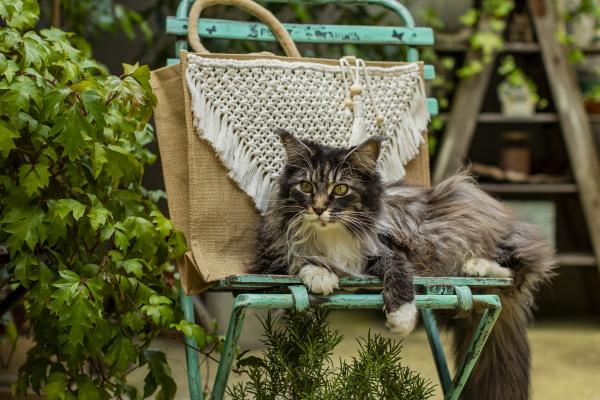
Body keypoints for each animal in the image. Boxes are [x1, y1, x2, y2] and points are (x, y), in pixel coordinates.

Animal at [247, 129, 552, 400]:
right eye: (306, 187)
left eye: (341, 189)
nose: (319, 208)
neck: (329, 235)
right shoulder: (271, 259)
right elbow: (299, 262)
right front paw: (321, 275)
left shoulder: (386, 251)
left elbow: (398, 273)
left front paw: (402, 318)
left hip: (462, 218)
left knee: (526, 262)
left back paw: (477, 265)